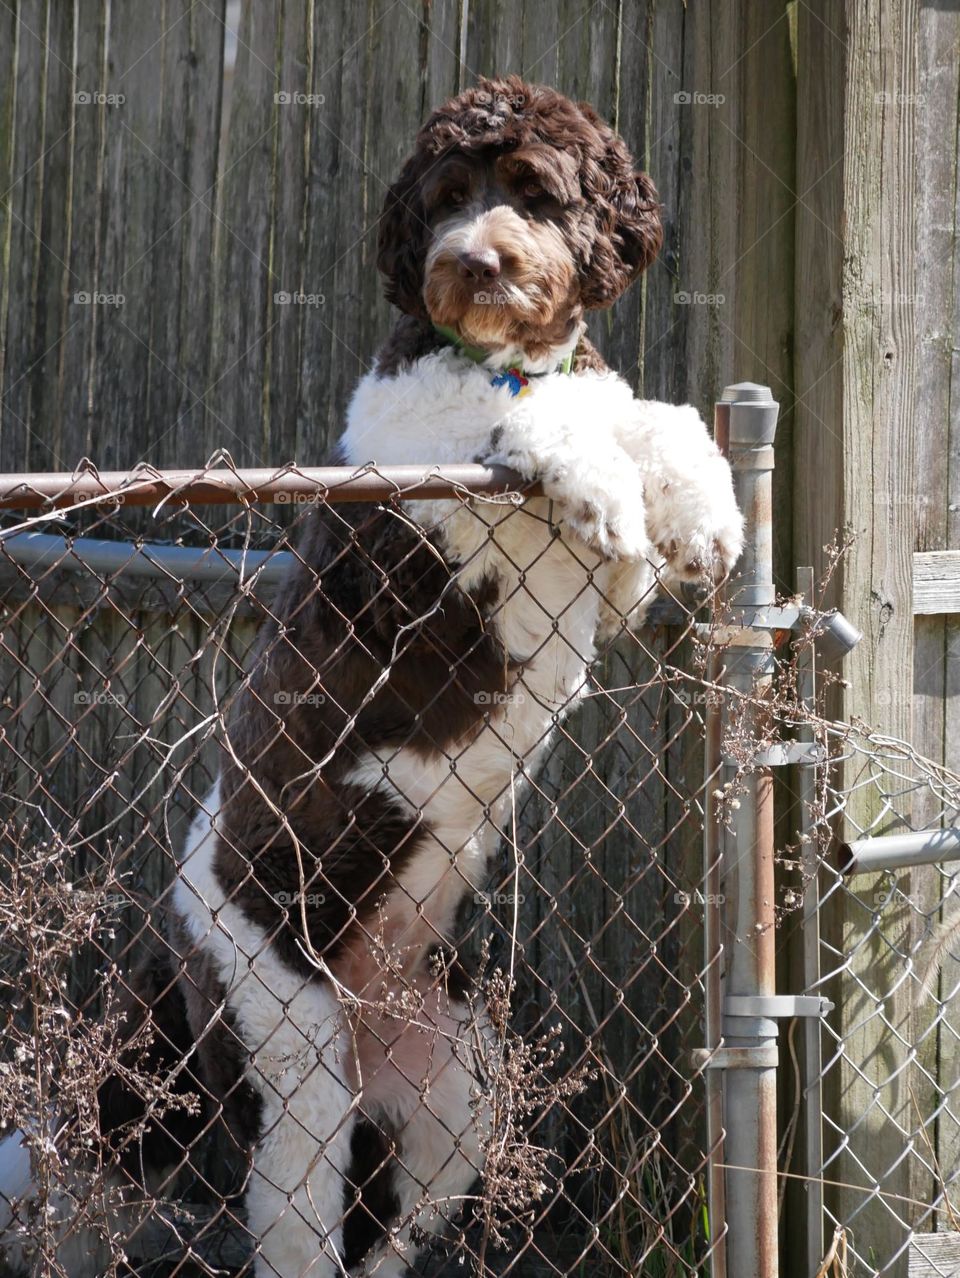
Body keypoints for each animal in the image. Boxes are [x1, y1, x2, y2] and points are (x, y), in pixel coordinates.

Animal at [0, 77, 741, 1278]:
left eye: (536, 191)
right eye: (444, 197)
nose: (472, 262)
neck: (492, 356)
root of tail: (165, 950)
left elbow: (642, 412)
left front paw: (703, 510)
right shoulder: (426, 514)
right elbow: (546, 421)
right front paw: (613, 493)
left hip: (451, 1094)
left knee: (382, 1236)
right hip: (286, 1061)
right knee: (296, 1227)